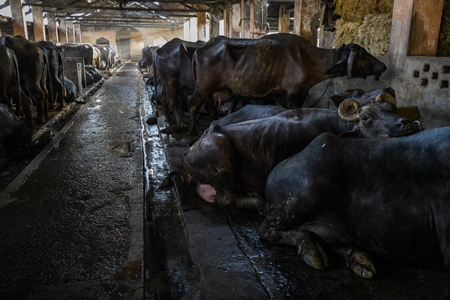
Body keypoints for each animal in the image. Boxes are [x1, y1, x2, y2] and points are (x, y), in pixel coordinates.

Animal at [181, 92, 420, 212]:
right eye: (366, 117)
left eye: (392, 110)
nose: (407, 123)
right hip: (221, 158)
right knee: (227, 199)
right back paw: (256, 199)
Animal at [186, 33, 386, 135]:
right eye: (362, 54)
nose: (383, 65)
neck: (307, 58)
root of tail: (200, 49)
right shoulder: (292, 92)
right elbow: (291, 111)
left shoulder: (293, 92)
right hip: (203, 87)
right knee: (193, 104)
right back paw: (191, 132)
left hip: (210, 90)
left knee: (209, 106)